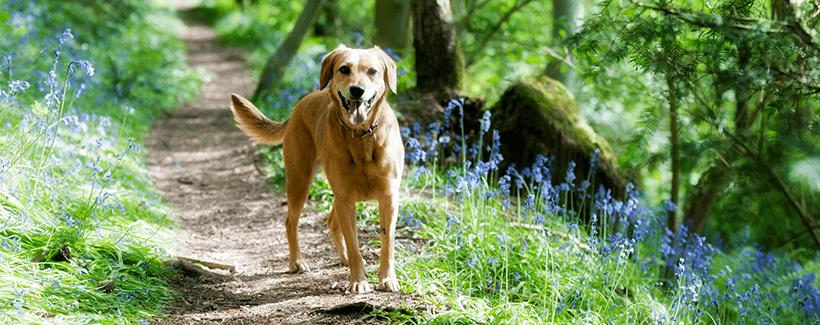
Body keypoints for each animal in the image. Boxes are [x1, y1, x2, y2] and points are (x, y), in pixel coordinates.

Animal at [229, 43, 402, 294]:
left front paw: (387, 278)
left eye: (372, 71)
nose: (357, 90)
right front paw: (358, 280)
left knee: (330, 221)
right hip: (299, 181)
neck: (361, 137)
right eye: (344, 69)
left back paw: (343, 259)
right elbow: (354, 244)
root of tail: (297, 108)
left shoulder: (388, 197)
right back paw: (297, 262)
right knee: (291, 222)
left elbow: (387, 243)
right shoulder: (345, 199)